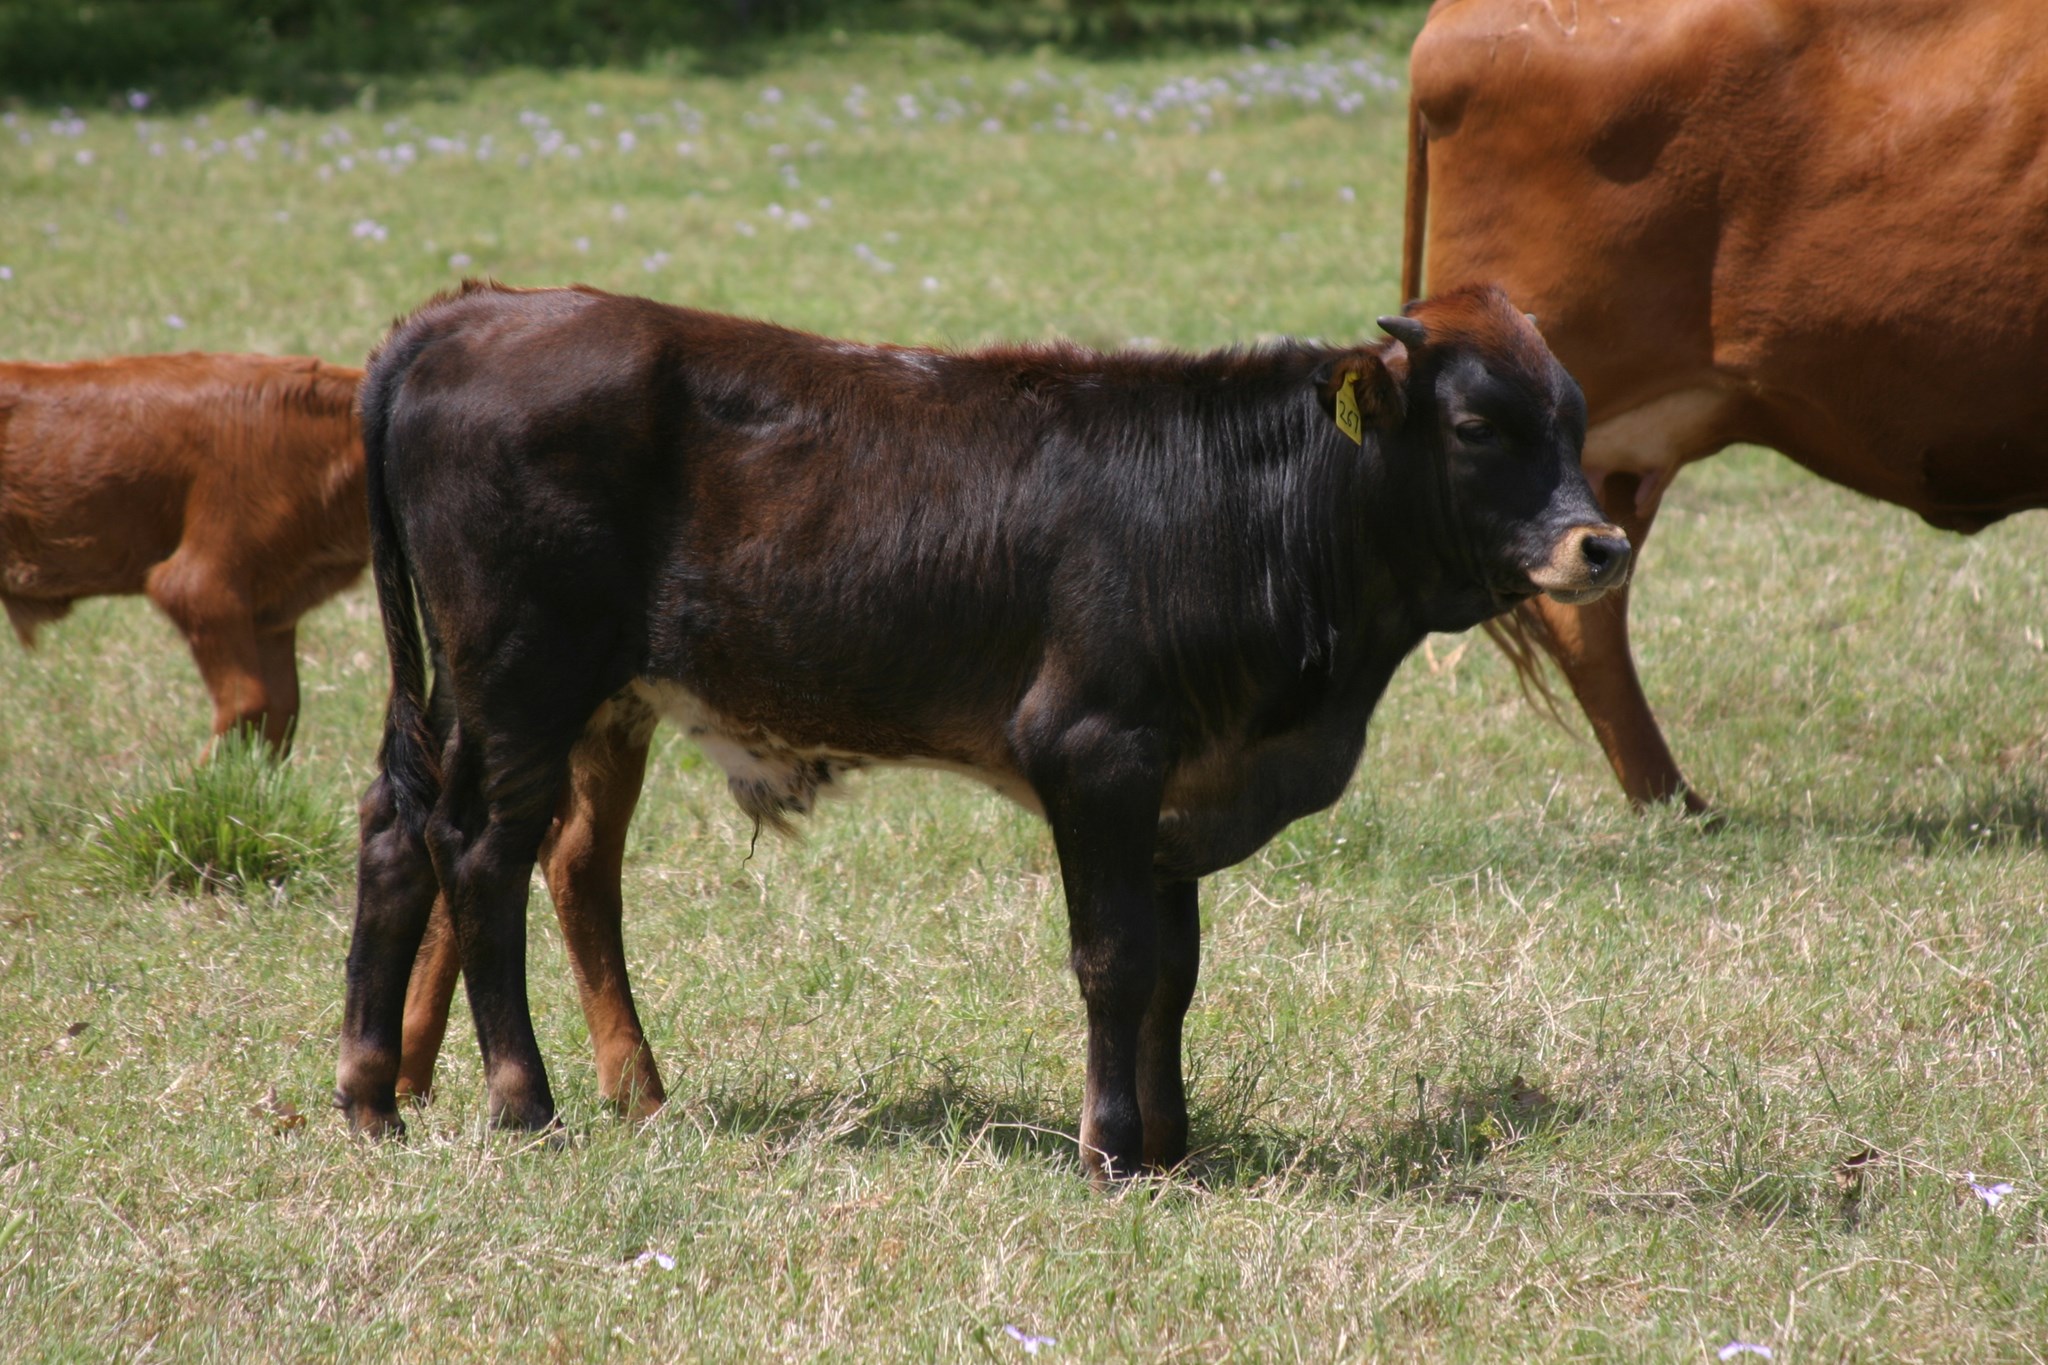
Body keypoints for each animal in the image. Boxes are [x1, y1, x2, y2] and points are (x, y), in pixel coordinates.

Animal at [333, 279, 1630, 1183]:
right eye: (1476, 425)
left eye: (1571, 421)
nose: (1599, 544)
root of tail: (470, 315)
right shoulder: (1093, 749)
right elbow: (1113, 961)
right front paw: (1110, 1150)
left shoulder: (1172, 787)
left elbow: (1173, 972)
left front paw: (1172, 1143)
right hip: (523, 682)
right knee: (483, 857)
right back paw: (522, 1104)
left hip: (512, 699)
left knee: (399, 830)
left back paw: (369, 1096)